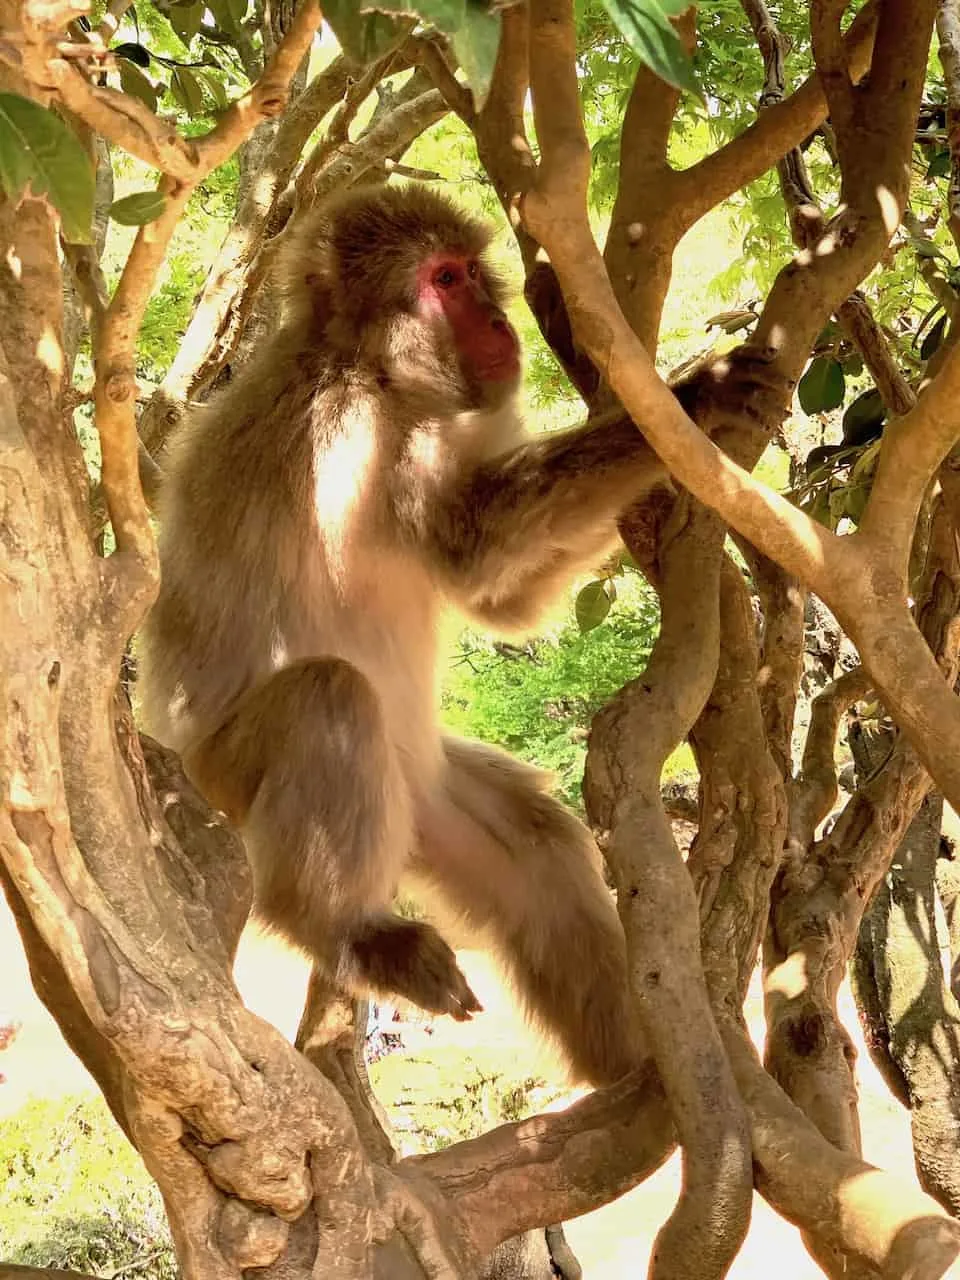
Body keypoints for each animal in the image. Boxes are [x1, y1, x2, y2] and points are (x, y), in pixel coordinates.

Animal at [136, 185, 670, 1085]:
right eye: (444, 279)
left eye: (474, 271)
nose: (496, 314)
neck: (367, 368)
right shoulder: (354, 432)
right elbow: (472, 548)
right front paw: (701, 402)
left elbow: (504, 598)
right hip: (226, 778)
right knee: (327, 698)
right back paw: (343, 929)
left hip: (423, 802)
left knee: (537, 849)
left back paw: (644, 1076)